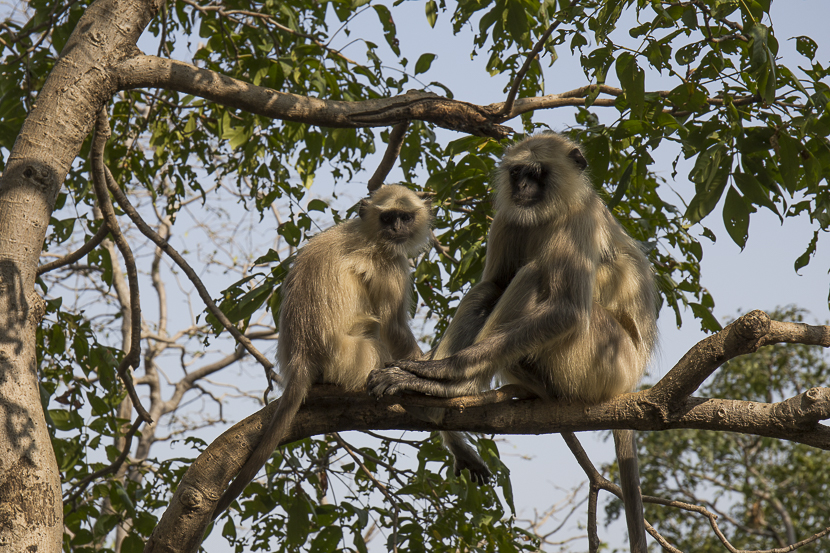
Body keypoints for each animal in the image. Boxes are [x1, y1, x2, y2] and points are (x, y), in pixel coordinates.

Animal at [211, 184, 490, 516]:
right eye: (388, 218)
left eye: (405, 217)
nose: (396, 229)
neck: (366, 232)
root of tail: (302, 357)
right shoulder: (388, 264)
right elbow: (394, 329)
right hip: (353, 359)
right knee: (376, 338)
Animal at [368, 134, 660, 552]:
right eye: (517, 172)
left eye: (537, 174)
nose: (522, 187)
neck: (550, 212)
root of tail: (630, 380)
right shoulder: (509, 217)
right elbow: (492, 284)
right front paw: (431, 379)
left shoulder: (582, 217)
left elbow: (568, 310)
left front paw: (444, 369)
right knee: (495, 288)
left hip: (602, 358)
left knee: (536, 274)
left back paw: (460, 386)